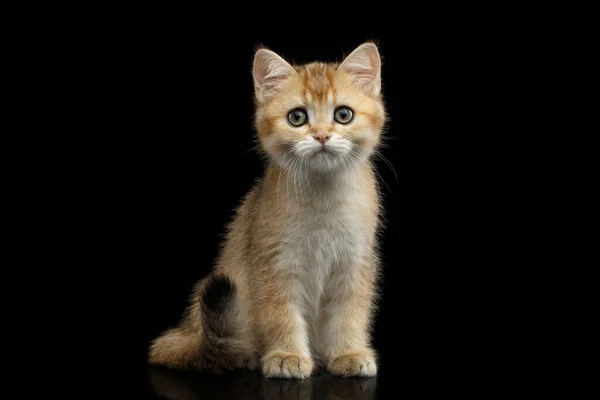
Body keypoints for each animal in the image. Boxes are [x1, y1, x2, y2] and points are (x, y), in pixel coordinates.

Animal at [148, 42, 386, 380]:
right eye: (297, 117)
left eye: (343, 114)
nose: (322, 136)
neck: (323, 196)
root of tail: (189, 331)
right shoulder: (274, 262)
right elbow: (281, 313)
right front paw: (287, 356)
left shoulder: (355, 263)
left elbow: (351, 312)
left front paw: (349, 353)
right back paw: (243, 354)